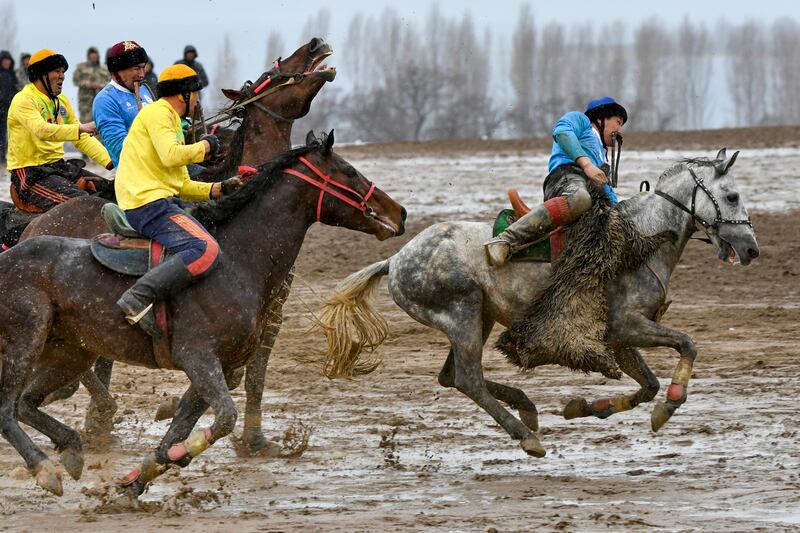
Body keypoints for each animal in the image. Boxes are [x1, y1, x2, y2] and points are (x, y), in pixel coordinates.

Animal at [0, 129, 404, 494]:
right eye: (349, 171)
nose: (398, 212)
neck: (237, 260)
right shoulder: (198, 357)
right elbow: (224, 417)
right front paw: (171, 459)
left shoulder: (218, 364)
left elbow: (182, 422)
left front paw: (140, 477)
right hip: (27, 342)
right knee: (8, 410)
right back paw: (44, 468)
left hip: (71, 352)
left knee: (27, 404)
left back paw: (71, 448)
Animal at [18, 36, 338, 448]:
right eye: (272, 73)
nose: (315, 44)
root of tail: (35, 226)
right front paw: (172, 409)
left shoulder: (272, 310)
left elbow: (254, 375)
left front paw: (254, 439)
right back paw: (96, 409)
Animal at [318, 148, 756, 456]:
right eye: (732, 195)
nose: (752, 249)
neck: (640, 238)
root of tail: (395, 260)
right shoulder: (628, 325)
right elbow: (687, 343)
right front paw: (670, 405)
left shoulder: (617, 338)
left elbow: (647, 384)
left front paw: (585, 407)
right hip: (462, 316)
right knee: (468, 379)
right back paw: (526, 435)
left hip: (479, 320)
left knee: (451, 377)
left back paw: (527, 408)